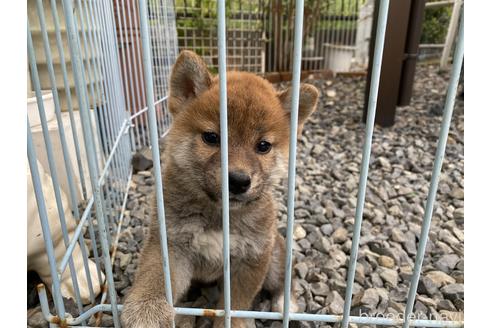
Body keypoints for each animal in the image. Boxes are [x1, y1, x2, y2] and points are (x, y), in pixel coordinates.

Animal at [121, 50, 318, 326]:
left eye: (263, 146)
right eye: (211, 138)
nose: (238, 180)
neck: (218, 215)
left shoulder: (253, 257)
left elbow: (237, 304)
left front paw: (234, 322)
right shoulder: (171, 243)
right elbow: (155, 275)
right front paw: (146, 308)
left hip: (275, 256)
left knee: (283, 281)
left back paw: (285, 304)